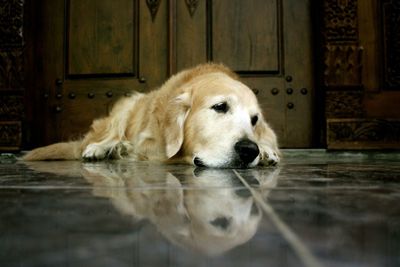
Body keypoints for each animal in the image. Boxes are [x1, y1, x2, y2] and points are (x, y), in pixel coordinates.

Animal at [24, 63, 282, 168]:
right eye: (220, 106)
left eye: (254, 120)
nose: (249, 150)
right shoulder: (151, 144)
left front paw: (266, 151)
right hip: (128, 104)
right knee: (106, 136)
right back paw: (100, 148)